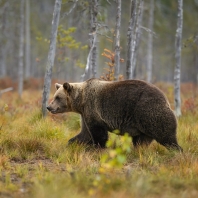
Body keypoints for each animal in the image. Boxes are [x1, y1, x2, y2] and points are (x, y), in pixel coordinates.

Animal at [46, 78, 183, 151]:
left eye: (57, 97)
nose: (49, 107)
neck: (81, 100)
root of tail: (165, 99)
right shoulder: (85, 114)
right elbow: (84, 133)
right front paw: (72, 143)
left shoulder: (93, 109)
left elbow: (98, 133)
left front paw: (98, 147)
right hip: (143, 126)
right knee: (141, 141)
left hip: (149, 112)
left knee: (167, 136)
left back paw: (177, 151)